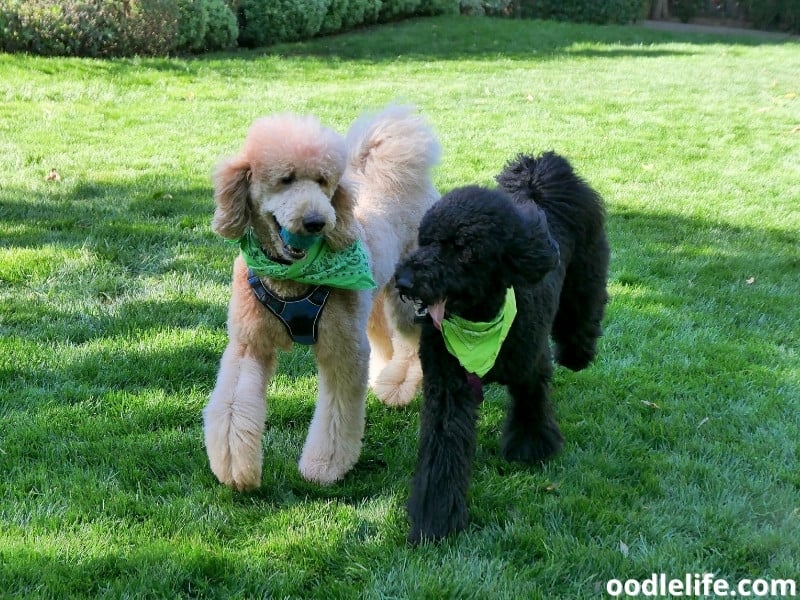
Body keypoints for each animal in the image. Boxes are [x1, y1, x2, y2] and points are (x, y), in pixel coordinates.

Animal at [200, 106, 438, 488]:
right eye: (285, 179)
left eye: (324, 181)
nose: (316, 222)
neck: (291, 278)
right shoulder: (249, 343)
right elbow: (234, 405)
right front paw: (235, 468)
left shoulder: (342, 350)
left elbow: (336, 416)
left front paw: (324, 466)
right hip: (370, 306)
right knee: (384, 340)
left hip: (404, 299)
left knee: (411, 342)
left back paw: (398, 385)